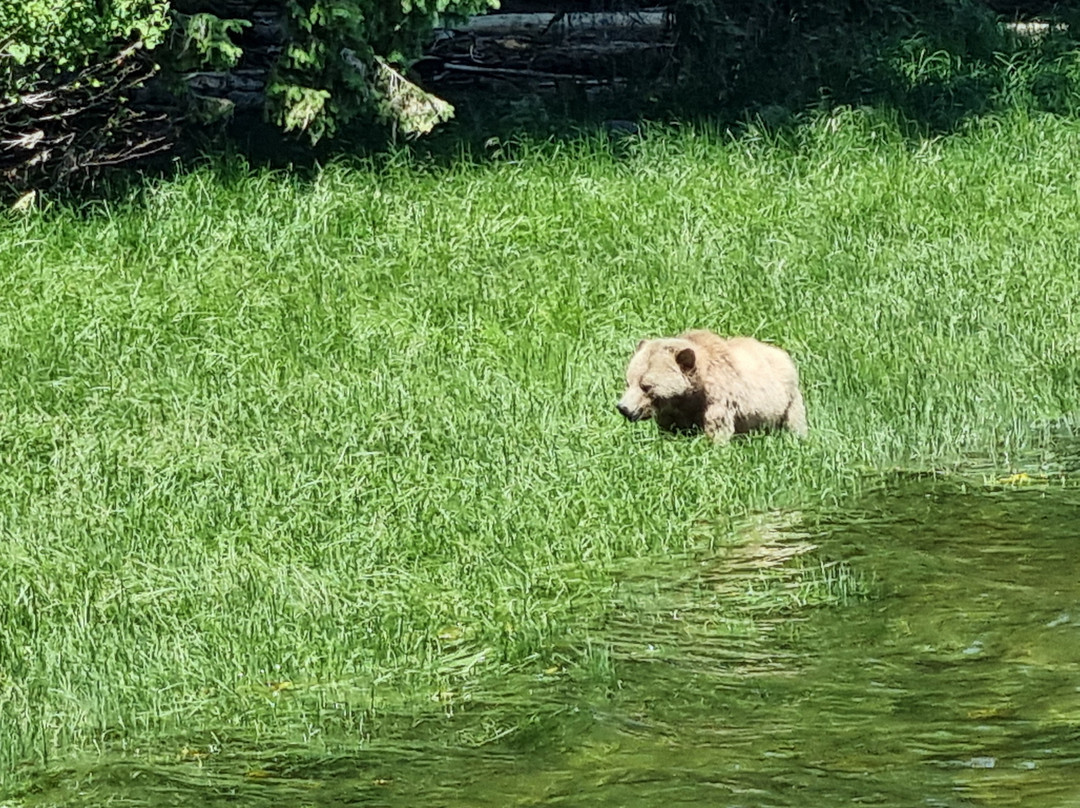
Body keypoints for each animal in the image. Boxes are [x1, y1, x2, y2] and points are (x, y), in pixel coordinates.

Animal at [616, 330, 807, 443]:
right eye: (628, 381)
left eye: (646, 386)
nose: (623, 407)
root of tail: (784, 354)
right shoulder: (673, 412)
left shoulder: (718, 401)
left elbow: (717, 430)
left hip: (788, 400)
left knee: (795, 422)